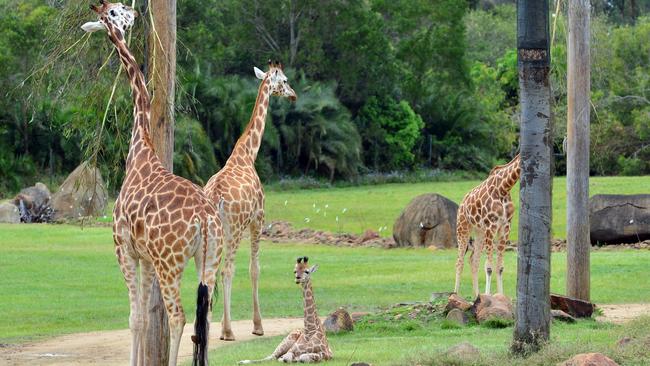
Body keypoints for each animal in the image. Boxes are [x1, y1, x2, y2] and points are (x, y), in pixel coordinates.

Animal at [81, 1, 223, 364]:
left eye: (112, 12)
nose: (132, 13)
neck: (140, 147)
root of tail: (205, 219)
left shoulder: (124, 249)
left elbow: (135, 318)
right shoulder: (145, 257)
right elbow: (144, 318)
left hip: (170, 263)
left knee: (179, 316)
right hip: (209, 258)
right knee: (205, 318)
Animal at [204, 59, 298, 340]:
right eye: (285, 80)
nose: (293, 95)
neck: (248, 152)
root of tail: (215, 197)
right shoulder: (258, 219)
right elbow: (254, 269)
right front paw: (258, 325)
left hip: (211, 233)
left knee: (208, 273)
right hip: (233, 230)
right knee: (227, 270)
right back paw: (227, 331)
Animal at [454, 153, 520, 298]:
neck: (504, 188)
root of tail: (462, 203)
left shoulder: (505, 226)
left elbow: (500, 267)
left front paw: (500, 297)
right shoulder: (492, 224)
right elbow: (489, 267)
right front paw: (489, 296)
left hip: (480, 232)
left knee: (473, 261)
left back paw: (477, 296)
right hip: (463, 228)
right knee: (459, 261)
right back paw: (455, 294)